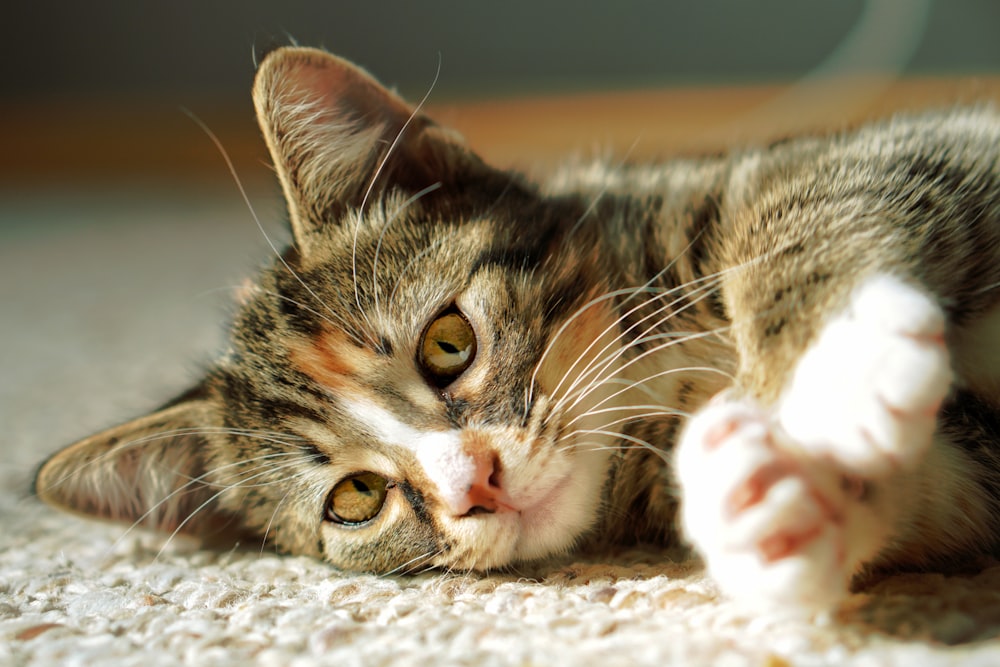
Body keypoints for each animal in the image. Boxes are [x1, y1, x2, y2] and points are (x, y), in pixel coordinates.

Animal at [31, 45, 1000, 612]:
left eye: (447, 343)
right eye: (356, 497)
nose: (477, 484)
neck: (660, 372)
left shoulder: (928, 146)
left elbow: (817, 199)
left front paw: (835, 370)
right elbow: (940, 489)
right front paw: (766, 498)